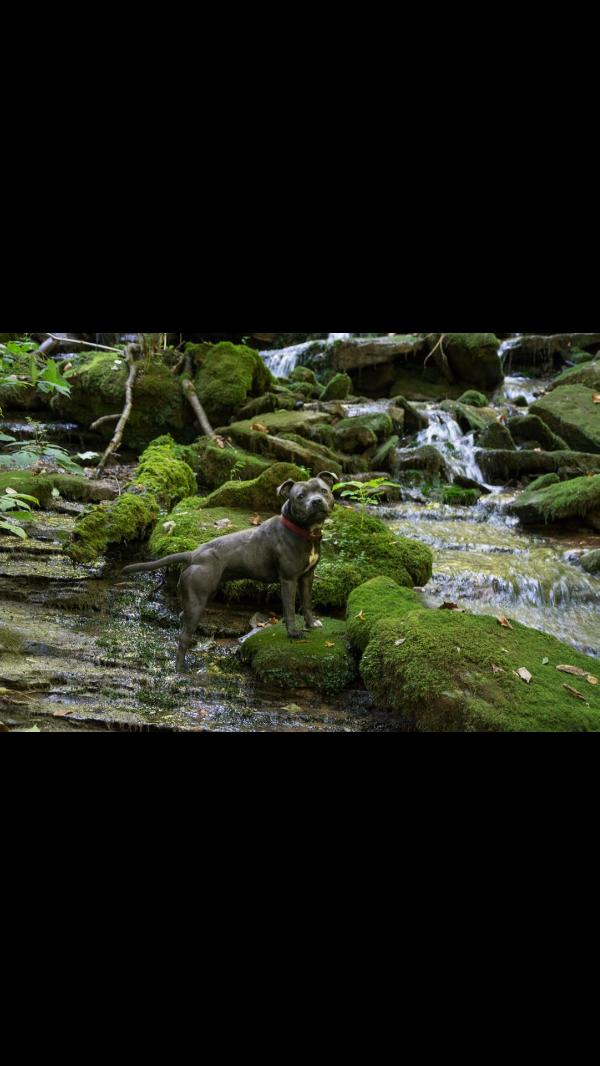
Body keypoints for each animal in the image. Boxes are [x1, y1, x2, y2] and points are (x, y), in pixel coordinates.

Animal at [122, 473, 338, 669]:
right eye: (300, 496)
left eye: (323, 491)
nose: (316, 501)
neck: (304, 531)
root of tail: (193, 555)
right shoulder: (289, 580)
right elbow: (291, 609)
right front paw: (293, 633)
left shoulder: (307, 577)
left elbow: (307, 603)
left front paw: (312, 624)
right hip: (197, 601)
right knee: (183, 636)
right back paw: (180, 669)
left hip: (198, 596)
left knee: (183, 619)